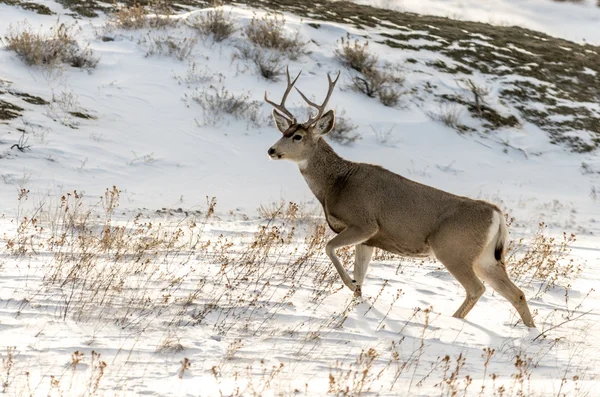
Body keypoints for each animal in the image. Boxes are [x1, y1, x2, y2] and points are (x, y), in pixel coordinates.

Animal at [264, 69, 536, 328]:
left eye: (297, 136)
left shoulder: (364, 223)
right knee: (516, 293)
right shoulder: (369, 240)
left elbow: (329, 247)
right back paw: (530, 332)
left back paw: (452, 321)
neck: (336, 184)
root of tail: (496, 214)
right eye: (284, 131)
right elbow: (360, 273)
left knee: (477, 289)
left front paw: (351, 285)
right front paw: (358, 298)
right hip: (486, 257)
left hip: (453, 249)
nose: (271, 150)